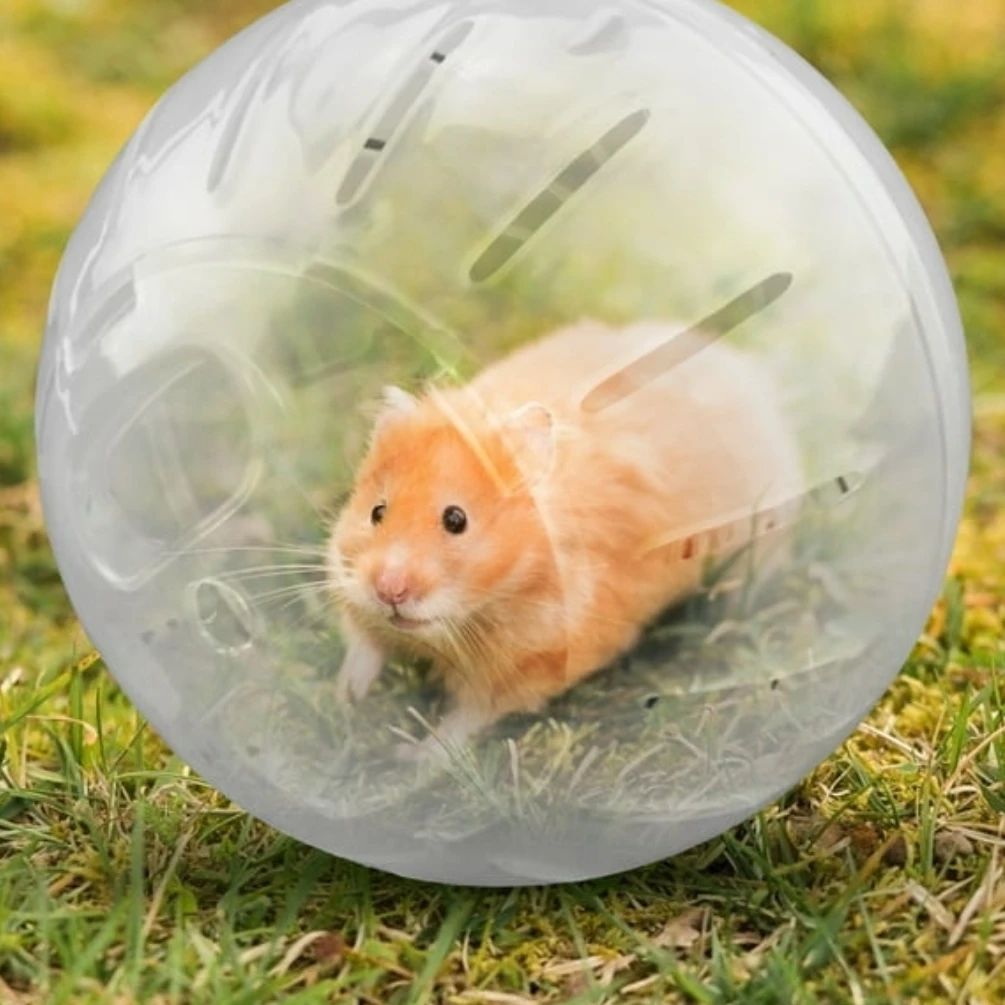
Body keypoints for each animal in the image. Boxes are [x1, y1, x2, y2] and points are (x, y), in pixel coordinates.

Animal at [327, 318, 805, 761]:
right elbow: (364, 643)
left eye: (456, 519)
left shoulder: (534, 663)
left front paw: (411, 758)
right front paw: (347, 698)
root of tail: (749, 375)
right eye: (377, 512)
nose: (389, 590)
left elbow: (468, 717)